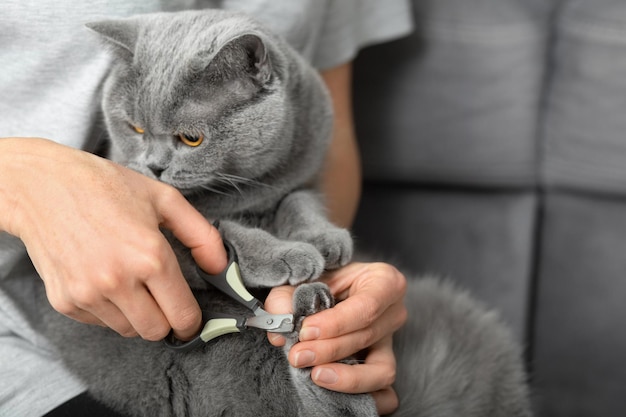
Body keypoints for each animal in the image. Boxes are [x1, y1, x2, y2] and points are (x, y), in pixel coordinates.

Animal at [36, 9, 528, 416]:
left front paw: (324, 239)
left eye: (192, 138)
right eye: (135, 128)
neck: (248, 186)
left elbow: (298, 200)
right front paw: (288, 255)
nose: (154, 166)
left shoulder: (304, 172)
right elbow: (220, 230)